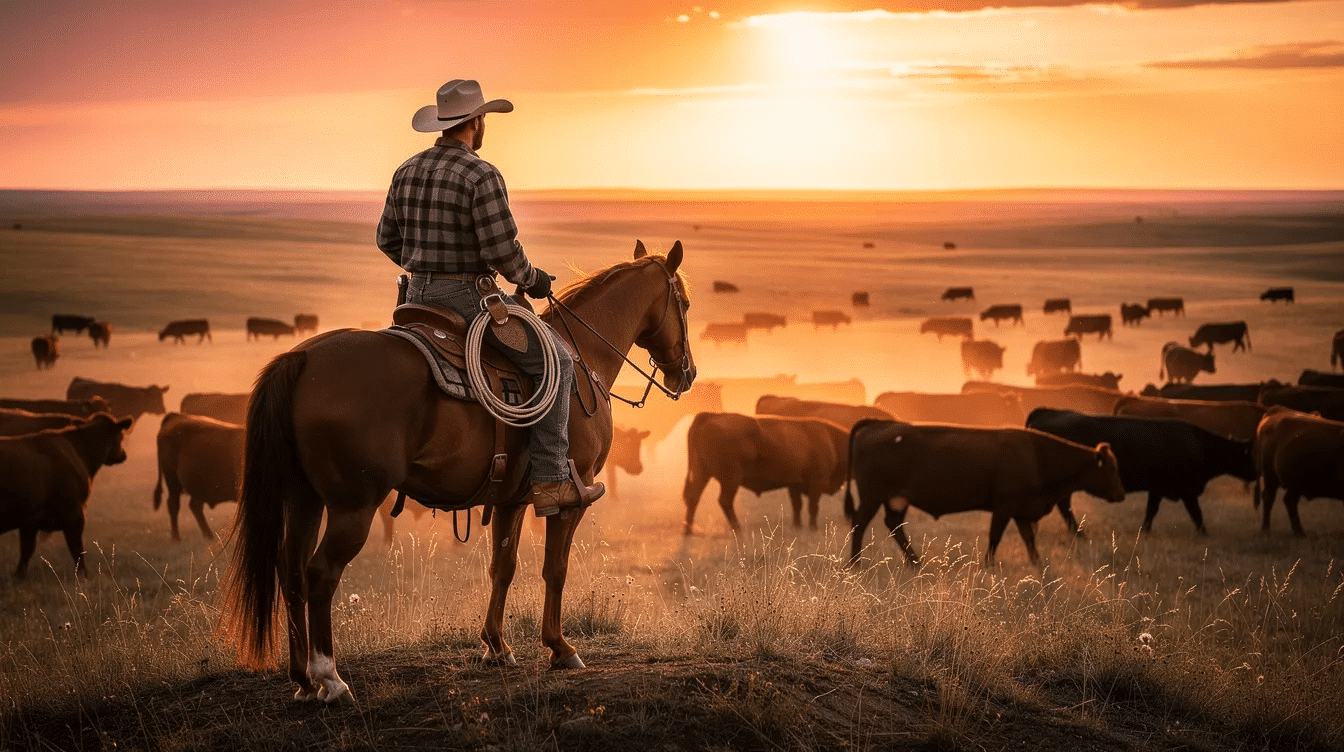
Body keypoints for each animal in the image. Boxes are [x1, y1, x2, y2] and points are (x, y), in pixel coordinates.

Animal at [0, 413, 135, 576]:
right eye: (121, 436)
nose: (123, 455)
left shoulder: (30, 519)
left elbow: (26, 550)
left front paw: (19, 575)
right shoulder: (74, 512)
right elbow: (77, 549)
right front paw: (83, 575)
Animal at [683, 413, 850, 533]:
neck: (830, 438)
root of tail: (711, 415)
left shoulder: (794, 484)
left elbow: (797, 506)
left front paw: (797, 526)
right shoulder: (817, 482)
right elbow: (812, 506)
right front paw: (813, 528)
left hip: (702, 473)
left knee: (693, 497)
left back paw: (688, 530)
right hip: (731, 479)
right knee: (724, 501)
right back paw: (737, 528)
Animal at [843, 419, 1125, 566]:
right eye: (1111, 468)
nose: (1121, 494)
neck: (1037, 455)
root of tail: (878, 425)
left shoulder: (1020, 512)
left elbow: (1029, 540)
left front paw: (1038, 565)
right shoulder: (1004, 508)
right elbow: (995, 537)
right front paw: (987, 565)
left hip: (895, 500)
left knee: (894, 525)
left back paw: (916, 563)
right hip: (872, 497)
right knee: (860, 522)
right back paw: (855, 563)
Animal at [1027, 408, 1256, 536]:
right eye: (1248, 456)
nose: (1256, 473)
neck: (1199, 445)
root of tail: (1048, 411)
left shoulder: (1158, 489)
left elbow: (1151, 511)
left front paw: (1144, 531)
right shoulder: (1187, 491)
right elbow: (1196, 513)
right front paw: (1205, 534)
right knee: (1064, 506)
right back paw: (1078, 532)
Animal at [1255, 407, 1344, 536]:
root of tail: (1277, 410)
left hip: (1295, 483)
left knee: (1288, 500)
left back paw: (1298, 532)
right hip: (1271, 477)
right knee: (1269, 498)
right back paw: (1267, 530)